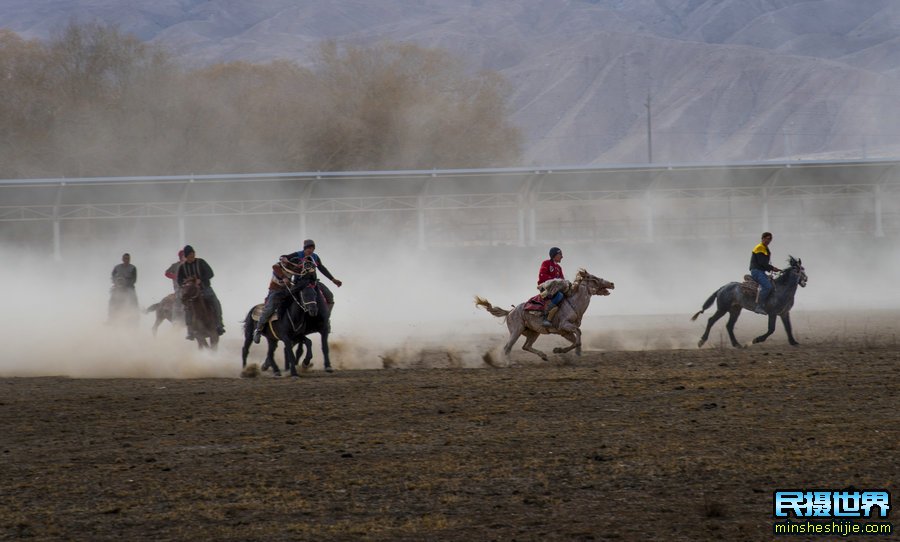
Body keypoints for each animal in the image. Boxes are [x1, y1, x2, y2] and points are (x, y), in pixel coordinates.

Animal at [474, 268, 616, 364]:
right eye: (594, 278)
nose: (612, 283)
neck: (573, 304)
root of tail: (510, 312)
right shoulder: (565, 325)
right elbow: (578, 334)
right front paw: (572, 351)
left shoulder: (564, 332)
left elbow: (575, 340)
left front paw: (560, 350)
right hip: (516, 331)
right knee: (507, 347)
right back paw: (509, 363)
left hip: (533, 332)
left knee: (526, 346)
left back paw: (543, 356)